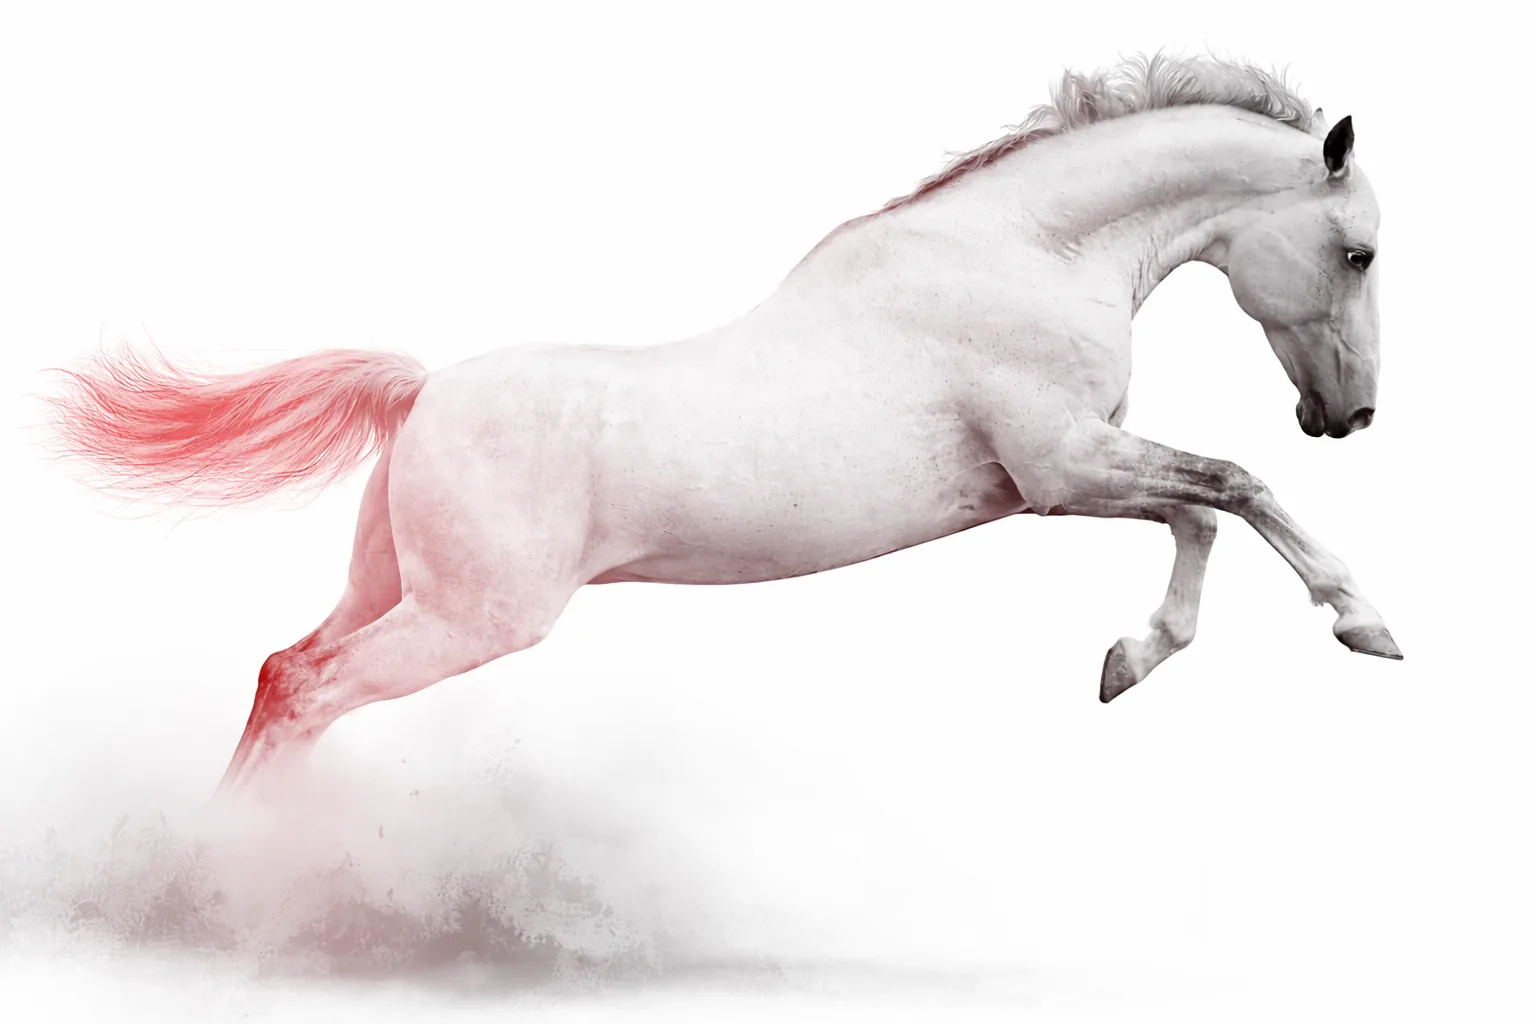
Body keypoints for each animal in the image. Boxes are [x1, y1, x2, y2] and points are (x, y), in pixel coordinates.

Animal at [44, 53, 1401, 796]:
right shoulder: (1059, 467)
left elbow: (1204, 510)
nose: (1349, 415)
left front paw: (1128, 660)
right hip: (470, 618)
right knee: (311, 689)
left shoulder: (1076, 469)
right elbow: (1237, 484)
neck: (1022, 252)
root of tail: (420, 392)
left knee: (282, 674)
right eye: (1360, 250)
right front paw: (1365, 622)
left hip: (392, 587)